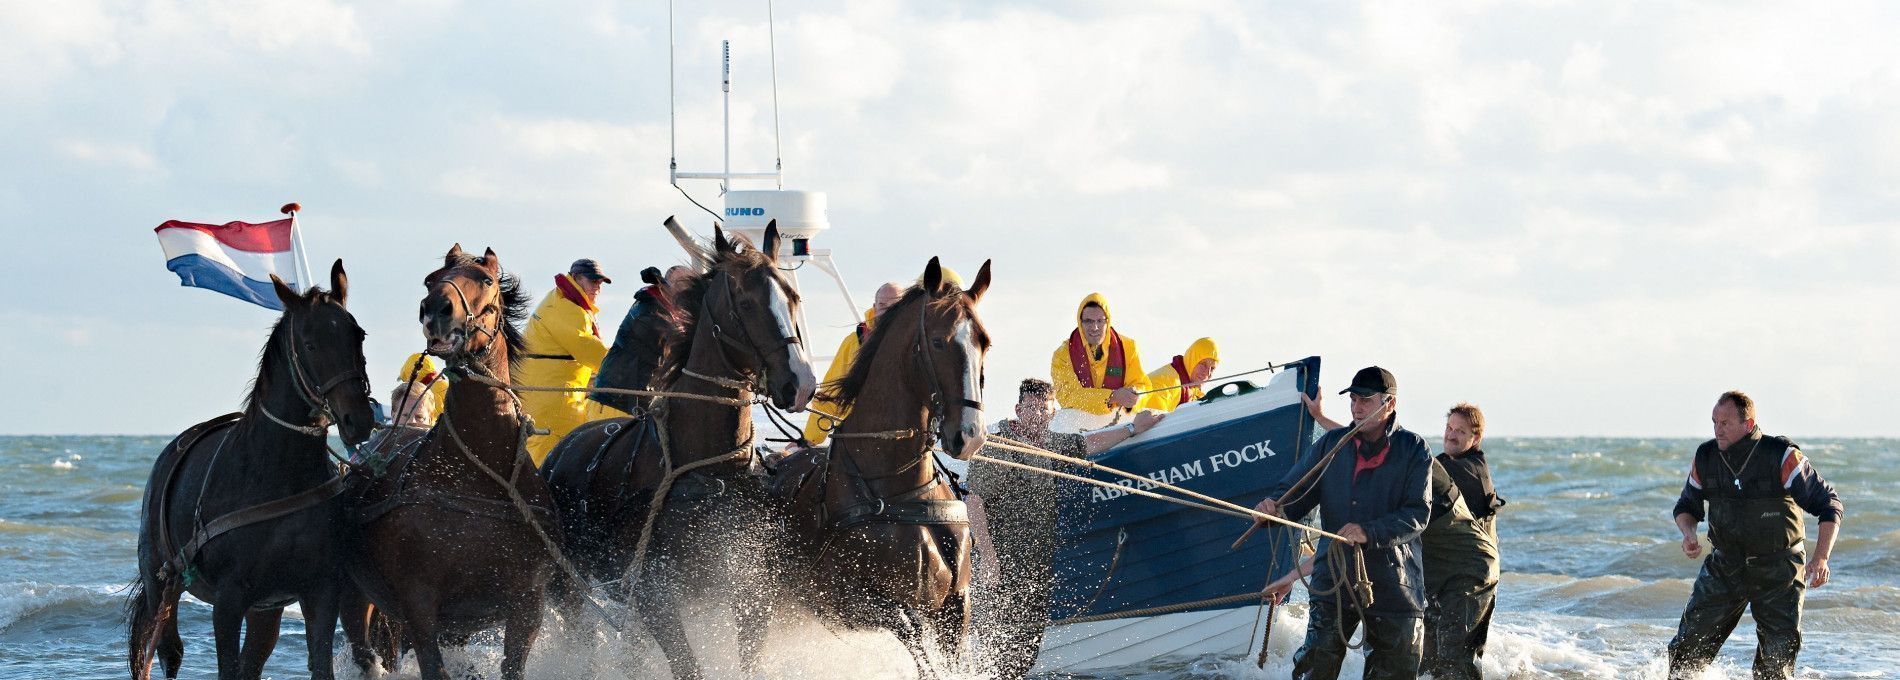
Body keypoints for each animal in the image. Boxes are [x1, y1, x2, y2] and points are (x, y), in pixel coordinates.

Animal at [126, 262, 374, 680]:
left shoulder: (320, 591)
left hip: (266, 608)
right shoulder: (228, 600)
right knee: (165, 651)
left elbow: (320, 664)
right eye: (310, 344)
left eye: (358, 335)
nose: (359, 420)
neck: (275, 474)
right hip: (162, 585)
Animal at [347, 245, 554, 680]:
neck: (477, 474)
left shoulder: (527, 604)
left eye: (487, 279)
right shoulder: (419, 604)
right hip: (358, 596)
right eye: (429, 280)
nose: (436, 309)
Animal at [543, 220, 824, 676]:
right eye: (746, 302)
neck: (707, 471)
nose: (800, 383)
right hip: (566, 584)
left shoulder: (750, 594)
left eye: (793, 297)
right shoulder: (654, 598)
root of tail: (559, 450)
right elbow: (686, 665)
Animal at [763, 258, 995, 676]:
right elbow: (911, 631)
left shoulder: (957, 604)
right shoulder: (851, 600)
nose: (970, 434)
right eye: (938, 341)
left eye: (983, 341)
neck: (900, 489)